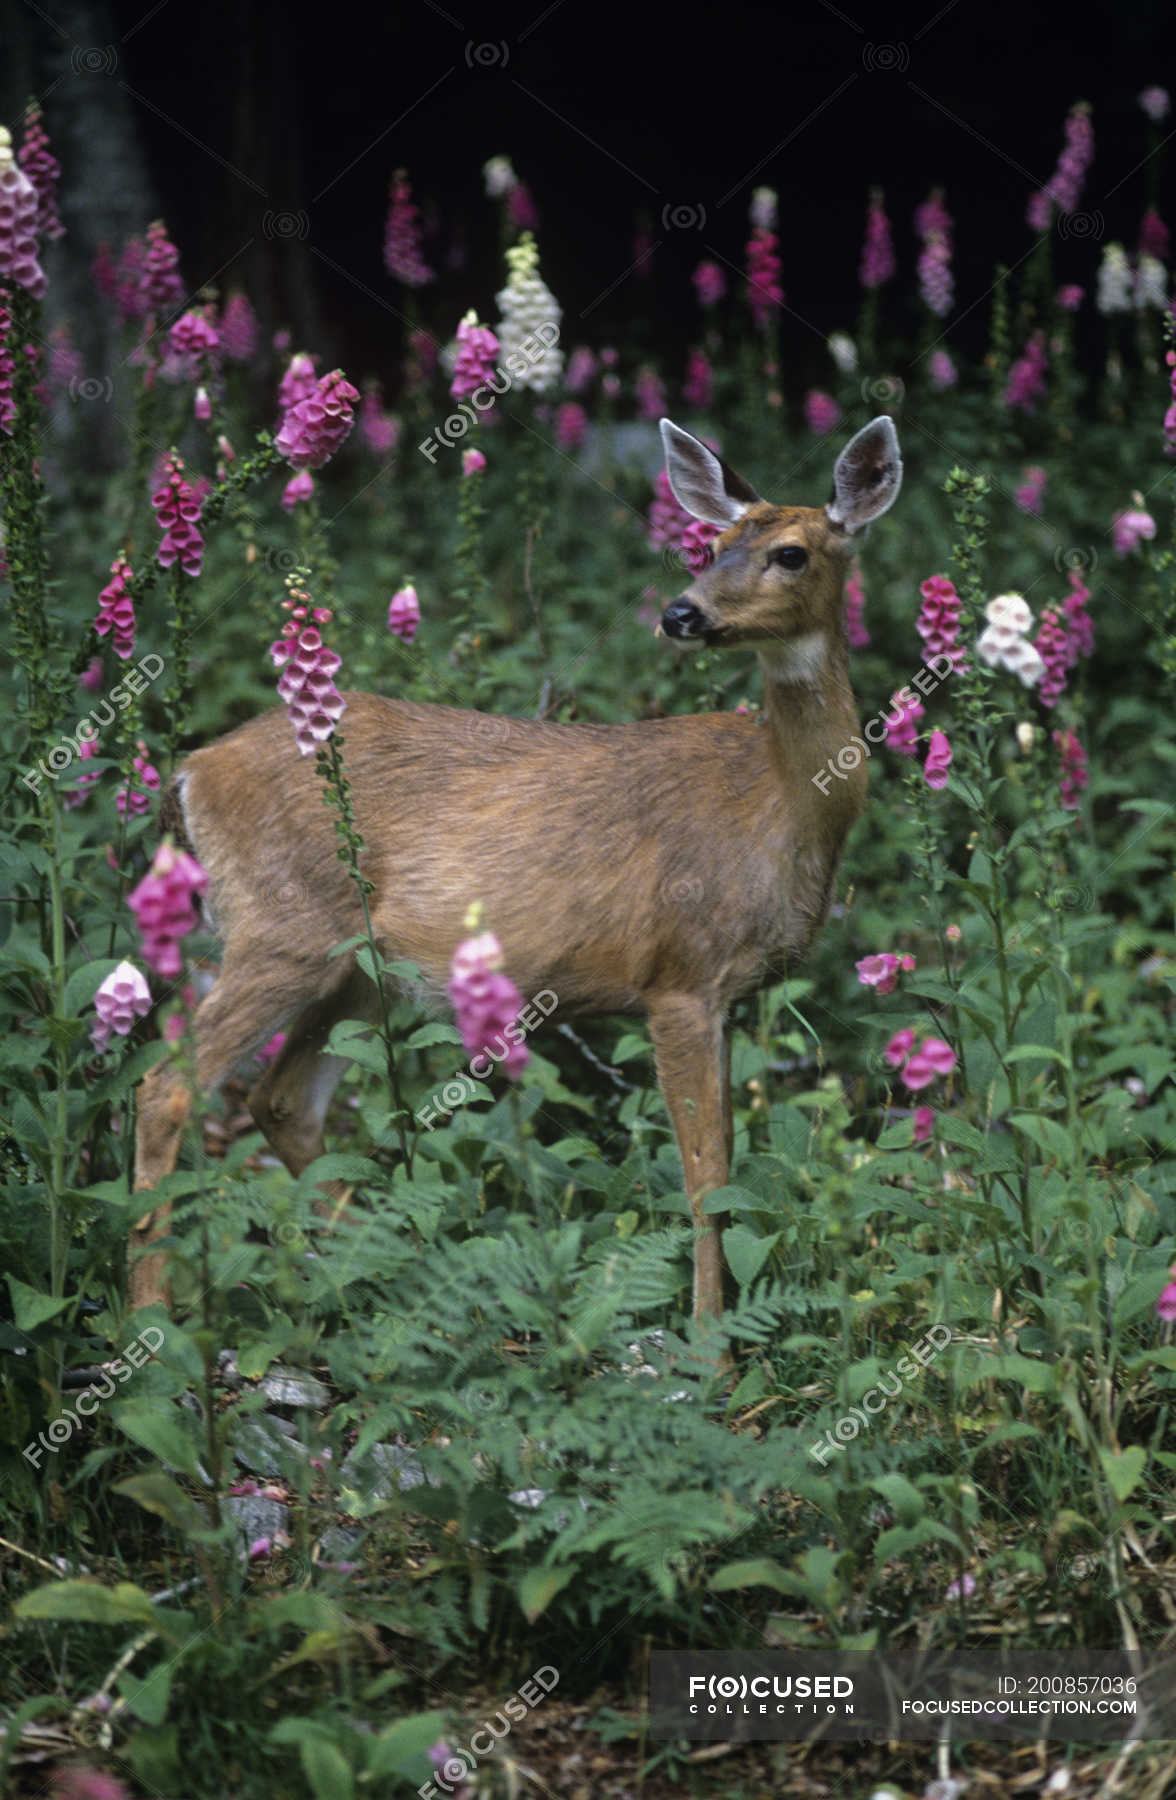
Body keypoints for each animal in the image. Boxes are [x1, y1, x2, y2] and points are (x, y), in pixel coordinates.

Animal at [128, 414, 902, 1320]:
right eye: (710, 545)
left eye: (790, 552)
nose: (682, 612)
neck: (781, 799)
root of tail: (192, 770)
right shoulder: (678, 973)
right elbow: (707, 1177)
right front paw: (707, 1335)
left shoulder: (728, 991)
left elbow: (730, 1163)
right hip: (283, 927)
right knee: (167, 1088)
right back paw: (153, 1322)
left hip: (358, 968)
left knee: (281, 1100)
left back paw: (397, 1276)